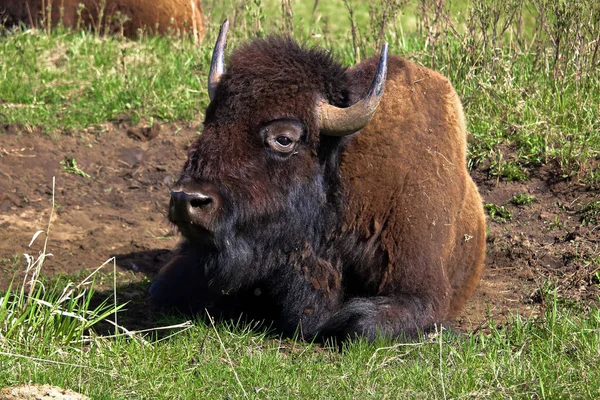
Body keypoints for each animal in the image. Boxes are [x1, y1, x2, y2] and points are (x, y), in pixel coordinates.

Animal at [151, 20, 488, 342]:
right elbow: (162, 290)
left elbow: (361, 325)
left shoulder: (422, 291)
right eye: (210, 120)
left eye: (284, 139)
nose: (187, 199)